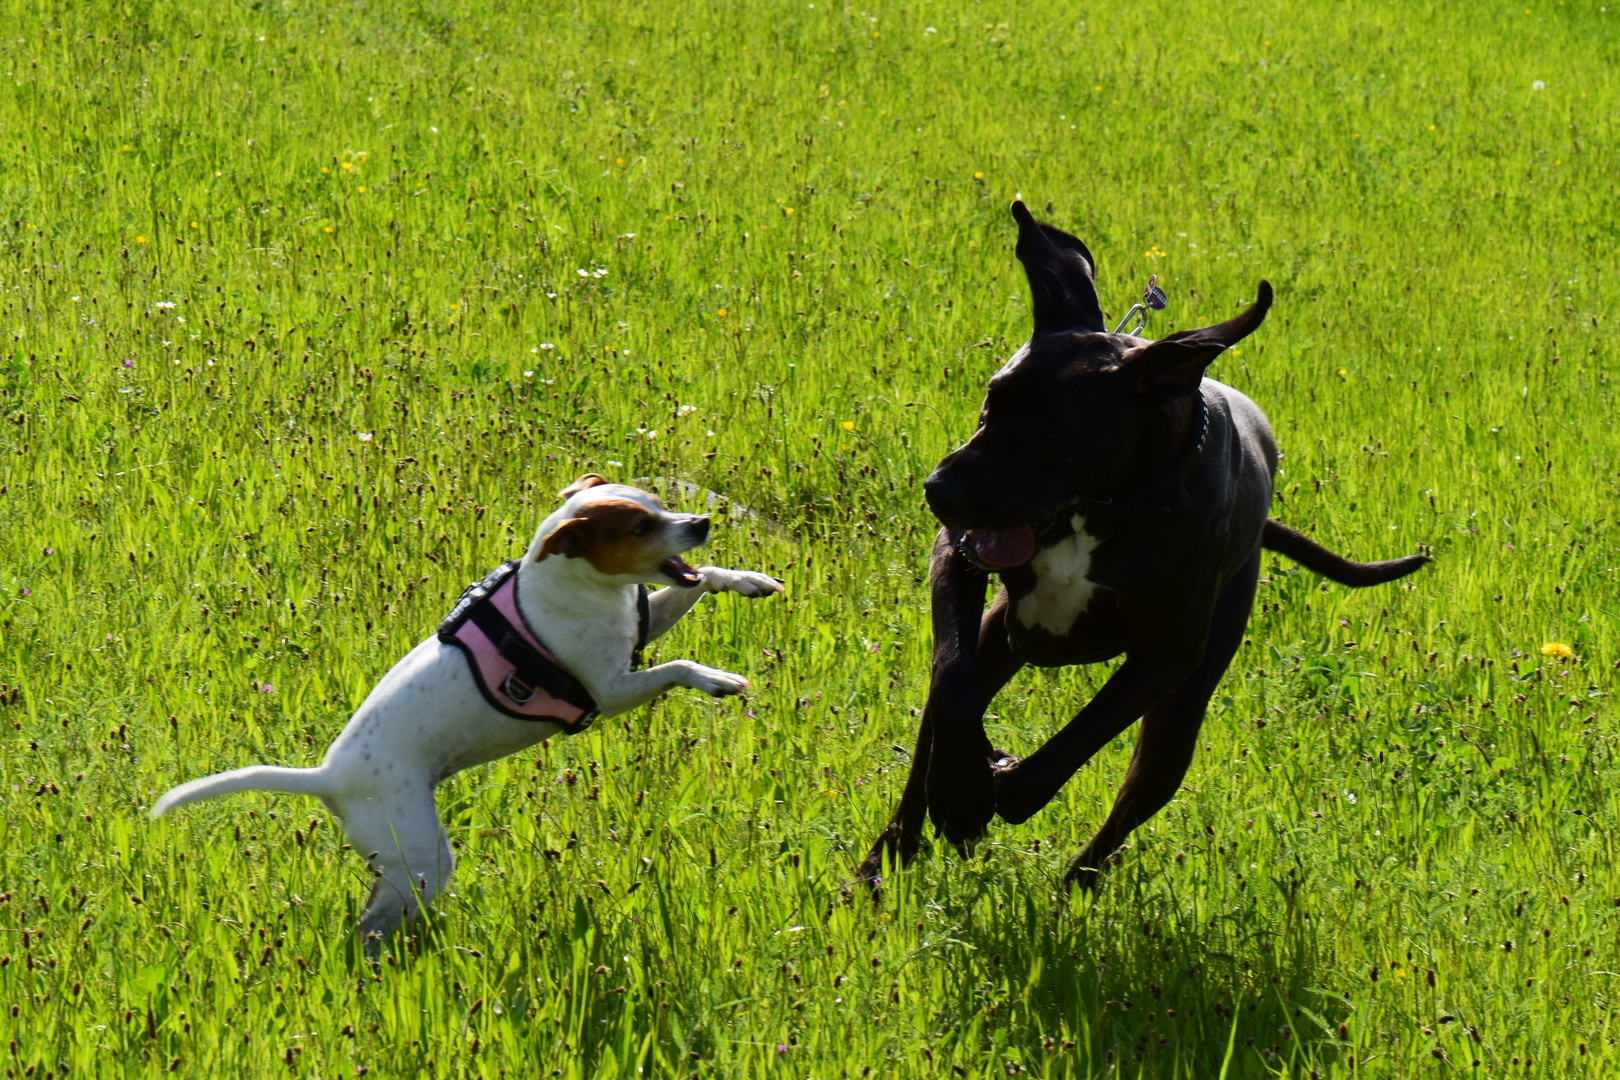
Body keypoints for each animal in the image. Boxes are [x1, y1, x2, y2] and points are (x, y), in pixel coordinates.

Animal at [153, 476, 784, 939]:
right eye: (639, 527)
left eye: (660, 504)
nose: (701, 523)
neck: (569, 588)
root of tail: (327, 776)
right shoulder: (610, 690)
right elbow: (675, 666)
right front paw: (715, 678)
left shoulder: (642, 624)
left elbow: (698, 582)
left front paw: (748, 578)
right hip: (422, 855)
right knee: (371, 926)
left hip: (400, 860)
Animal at [855, 202, 1425, 893]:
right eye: (990, 400)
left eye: (1049, 430)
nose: (939, 489)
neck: (1102, 506)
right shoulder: (959, 562)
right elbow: (953, 682)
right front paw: (961, 795)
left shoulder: (1167, 656)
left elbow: (1061, 756)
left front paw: (994, 785)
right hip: (1002, 636)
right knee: (940, 720)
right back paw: (887, 857)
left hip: (1180, 713)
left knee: (1131, 801)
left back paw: (1070, 885)